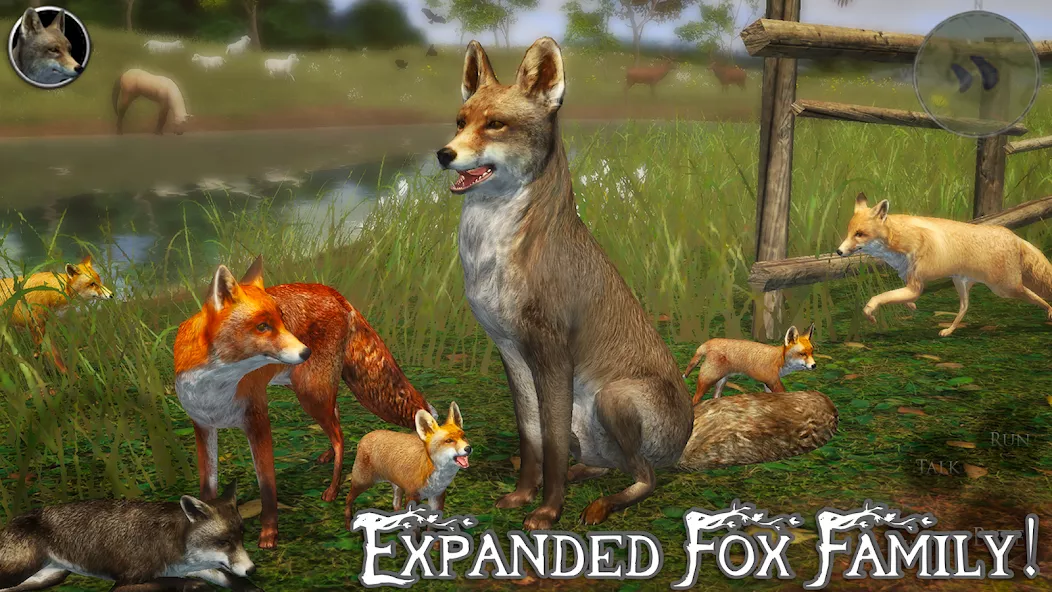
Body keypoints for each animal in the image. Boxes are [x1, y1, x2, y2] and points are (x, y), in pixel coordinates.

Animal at [0, 481, 262, 592]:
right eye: (224, 542)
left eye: (242, 537)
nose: (252, 569)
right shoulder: (125, 582)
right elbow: (175, 583)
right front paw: (194, 587)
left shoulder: (189, 568)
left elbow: (232, 580)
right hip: (21, 571)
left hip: (47, 578)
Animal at [174, 255, 433, 549]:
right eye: (263, 326)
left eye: (282, 319)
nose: (305, 352)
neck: (216, 386)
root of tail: (334, 293)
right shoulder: (203, 427)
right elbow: (207, 488)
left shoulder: (258, 421)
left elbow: (267, 488)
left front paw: (269, 534)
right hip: (308, 389)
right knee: (336, 418)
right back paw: (328, 455)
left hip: (310, 393)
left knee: (340, 436)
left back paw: (333, 488)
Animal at [682, 324, 817, 405]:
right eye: (802, 354)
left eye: (812, 352)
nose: (814, 365)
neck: (779, 360)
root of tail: (709, 342)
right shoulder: (773, 381)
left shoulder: (768, 383)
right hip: (708, 379)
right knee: (695, 399)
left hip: (721, 381)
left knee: (715, 397)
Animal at [836, 192, 1052, 337]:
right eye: (849, 232)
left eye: (860, 234)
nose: (839, 251)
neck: (900, 240)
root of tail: (1014, 236)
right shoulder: (910, 280)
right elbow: (897, 297)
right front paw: (911, 306)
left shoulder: (915, 286)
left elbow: (878, 297)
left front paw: (870, 313)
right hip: (962, 283)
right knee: (964, 307)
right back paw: (949, 330)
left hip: (1005, 288)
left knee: (1034, 295)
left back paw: (1049, 311)